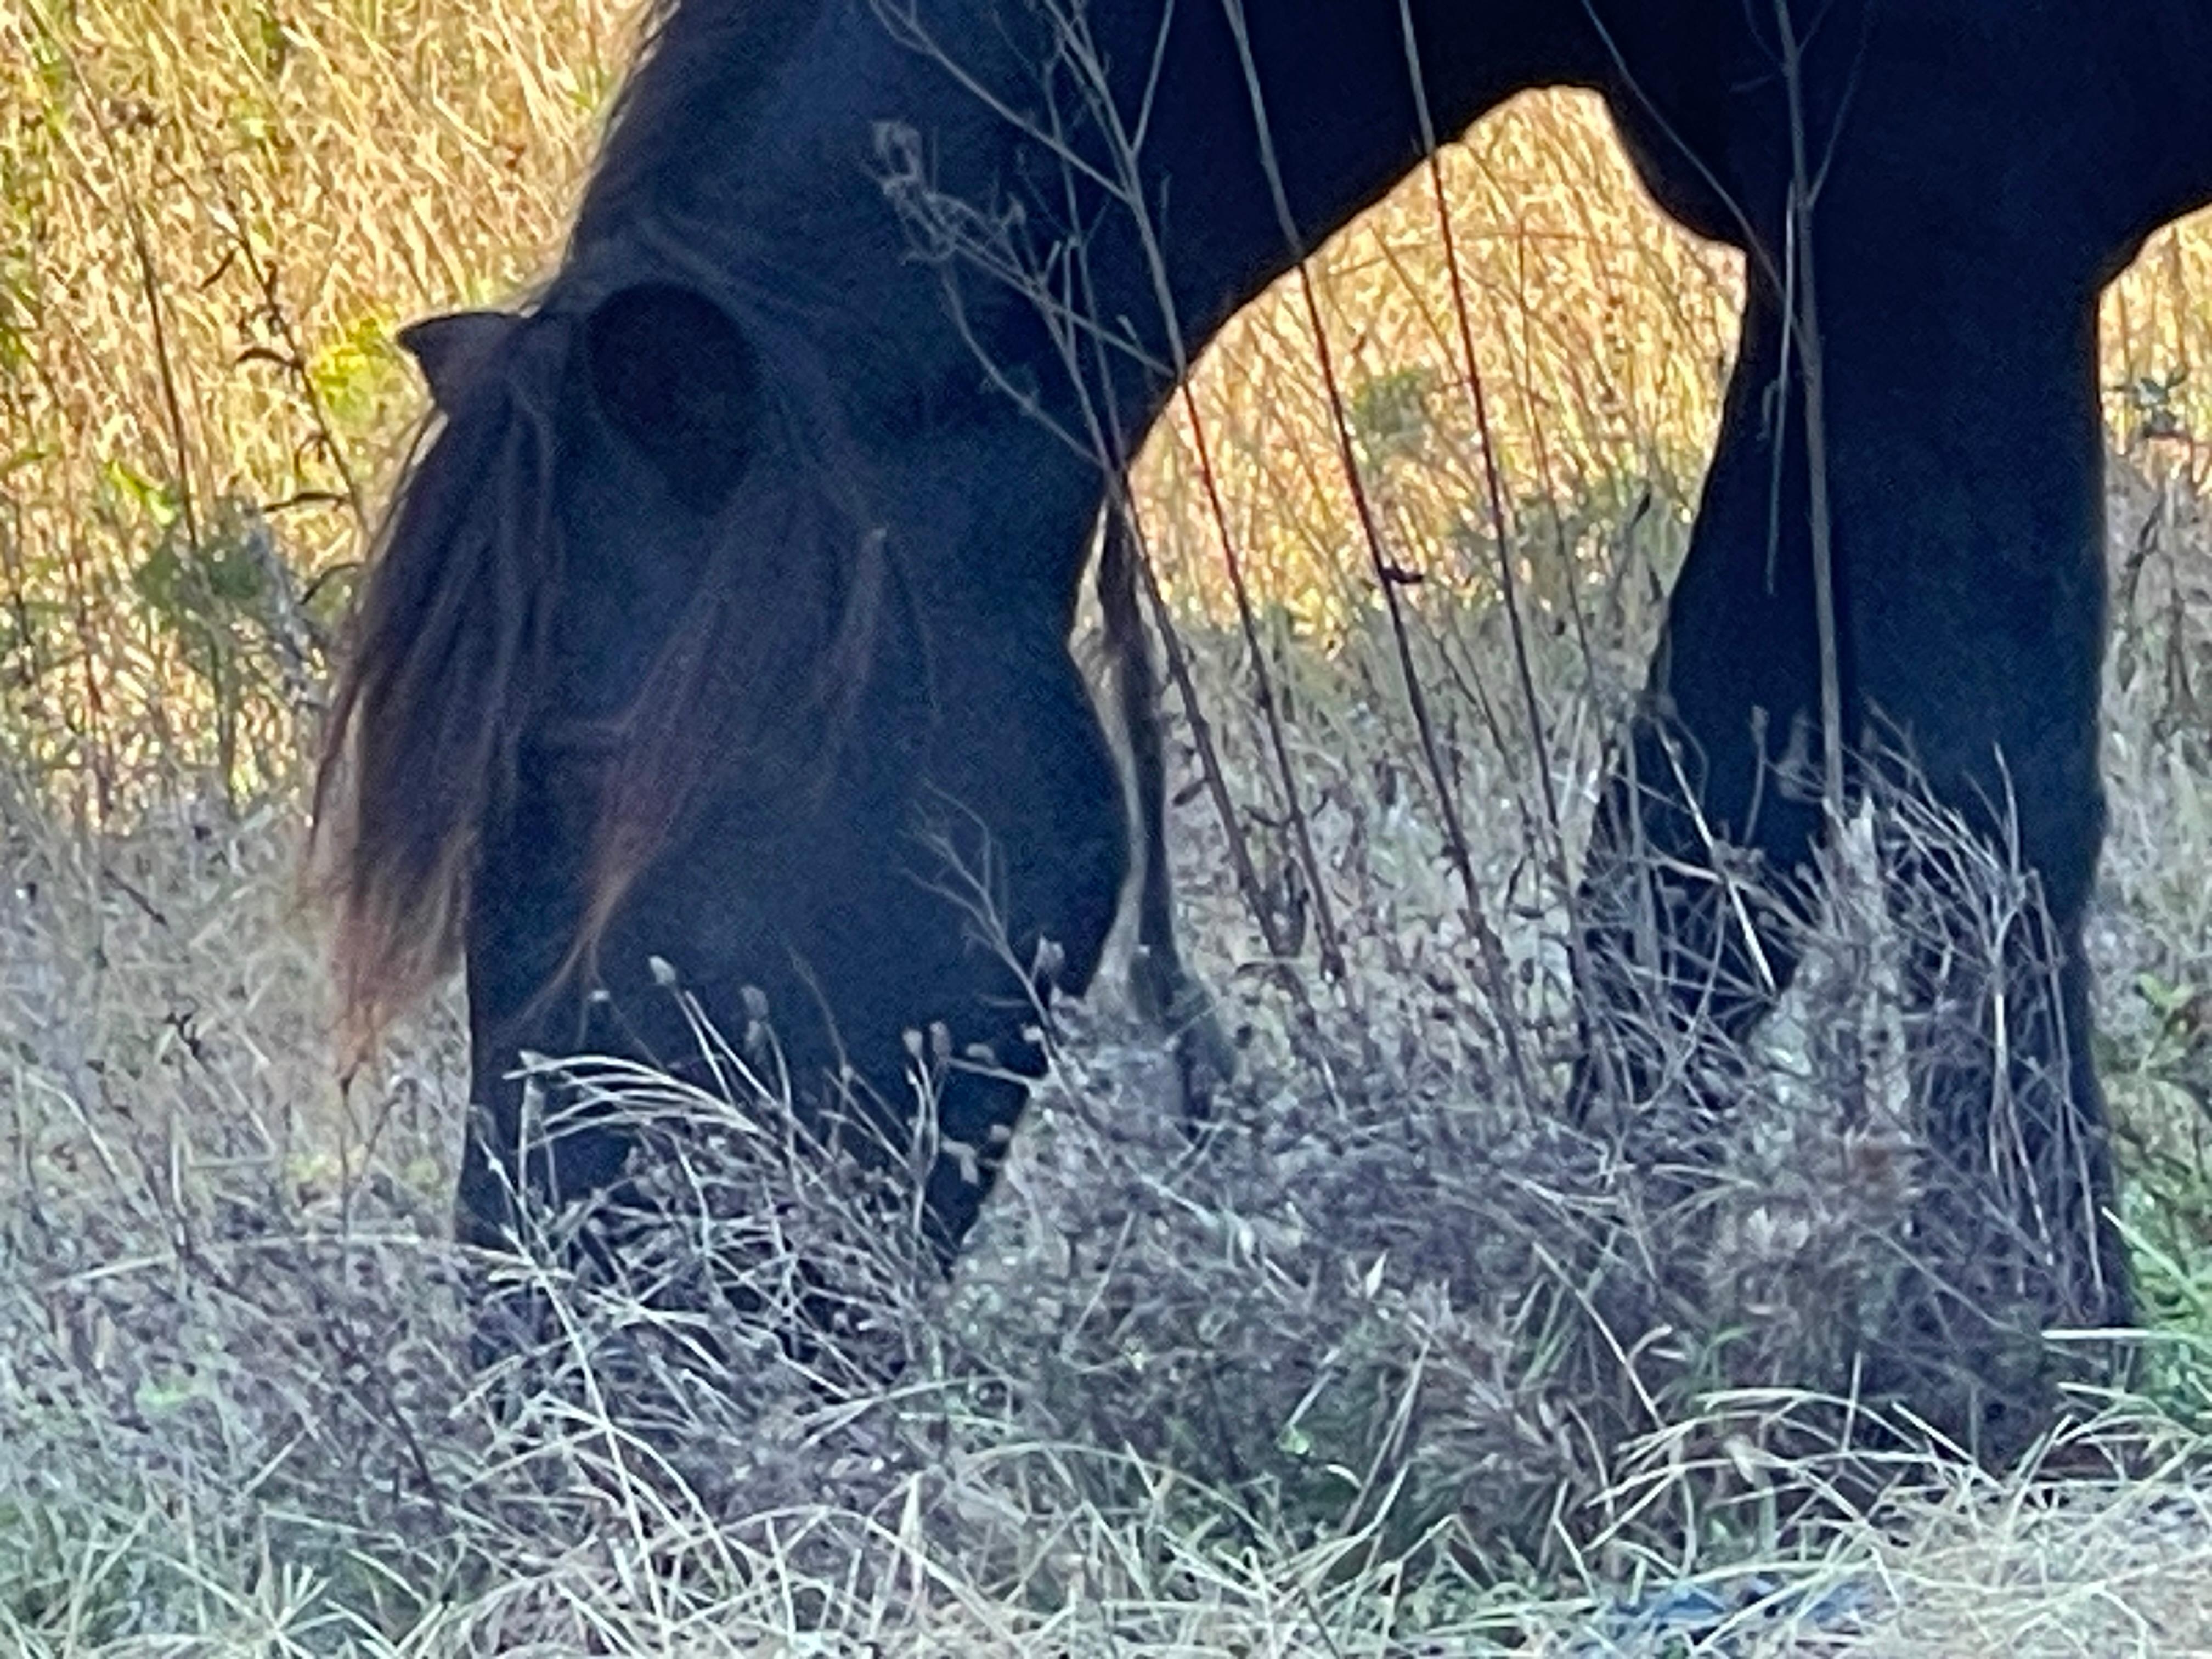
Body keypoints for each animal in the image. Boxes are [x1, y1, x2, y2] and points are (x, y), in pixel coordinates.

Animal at [315, 0, 2212, 1434]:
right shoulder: (1818, 255)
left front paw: (2017, 1361)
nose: (552, 1380)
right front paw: (1621, 1304)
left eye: (583, 786)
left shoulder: (1943, 214)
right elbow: (1700, 829)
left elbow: (1976, 795)